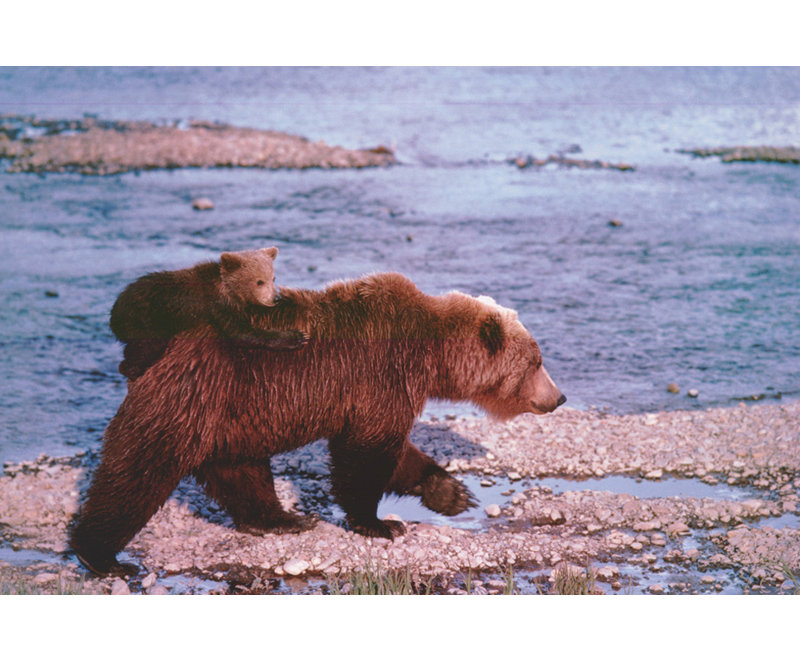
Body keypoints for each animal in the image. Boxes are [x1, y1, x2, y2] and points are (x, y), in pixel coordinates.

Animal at [70, 272, 565, 576]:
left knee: (241, 471)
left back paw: (281, 519)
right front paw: (381, 524)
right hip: (192, 396)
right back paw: (102, 556)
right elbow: (367, 454)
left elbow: (396, 452)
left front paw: (452, 493)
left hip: (231, 417)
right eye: (536, 360)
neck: (430, 354)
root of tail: (148, 351)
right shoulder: (378, 374)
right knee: (136, 474)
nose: (558, 397)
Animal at [109, 247, 308, 381]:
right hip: (146, 320)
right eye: (259, 281)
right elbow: (243, 333)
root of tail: (114, 314)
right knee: (146, 346)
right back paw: (131, 369)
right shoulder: (219, 305)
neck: (229, 289)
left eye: (273, 278)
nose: (275, 298)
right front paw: (296, 336)